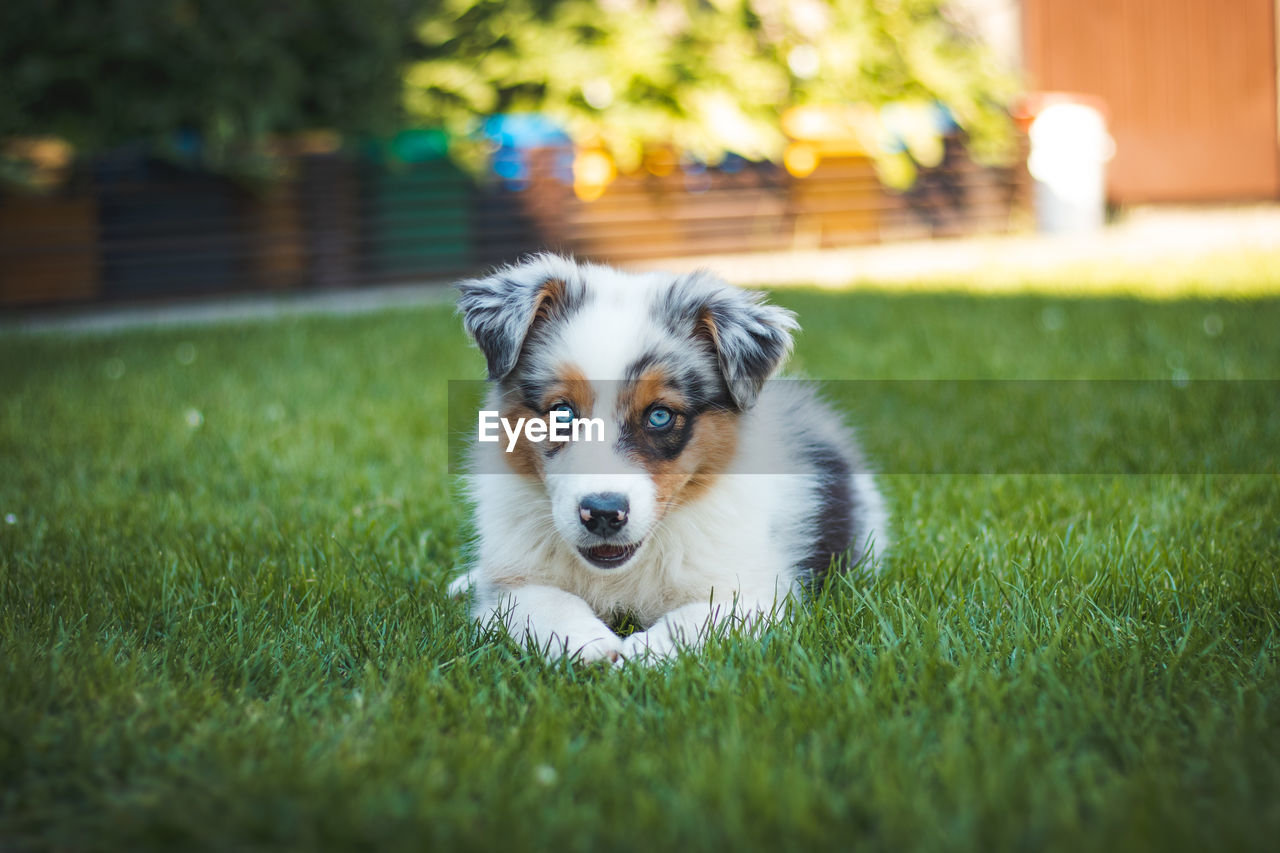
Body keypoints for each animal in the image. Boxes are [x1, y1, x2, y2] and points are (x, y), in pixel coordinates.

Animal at [453, 252, 890, 666]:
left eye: (660, 415)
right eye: (562, 412)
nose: (603, 514)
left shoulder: (751, 593)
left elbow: (694, 620)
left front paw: (640, 655)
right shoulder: (511, 588)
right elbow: (546, 602)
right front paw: (588, 645)